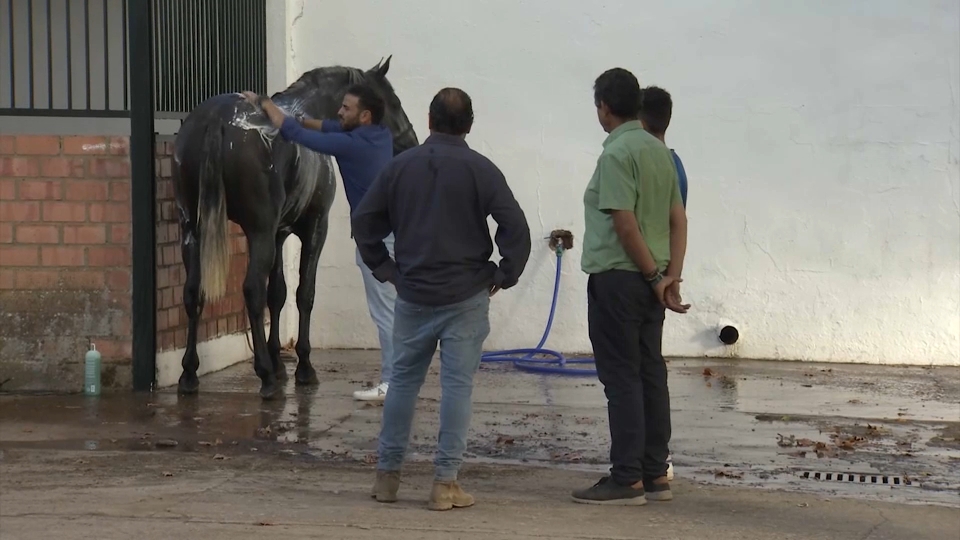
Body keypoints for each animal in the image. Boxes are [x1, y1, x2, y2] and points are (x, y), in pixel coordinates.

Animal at [172, 57, 416, 398]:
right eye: (393, 102)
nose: (411, 142)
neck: (308, 109)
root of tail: (216, 119)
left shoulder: (278, 232)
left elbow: (278, 293)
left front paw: (278, 361)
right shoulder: (313, 228)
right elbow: (304, 293)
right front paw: (302, 367)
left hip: (192, 231)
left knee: (193, 291)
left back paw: (189, 374)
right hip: (257, 232)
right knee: (252, 290)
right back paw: (265, 377)